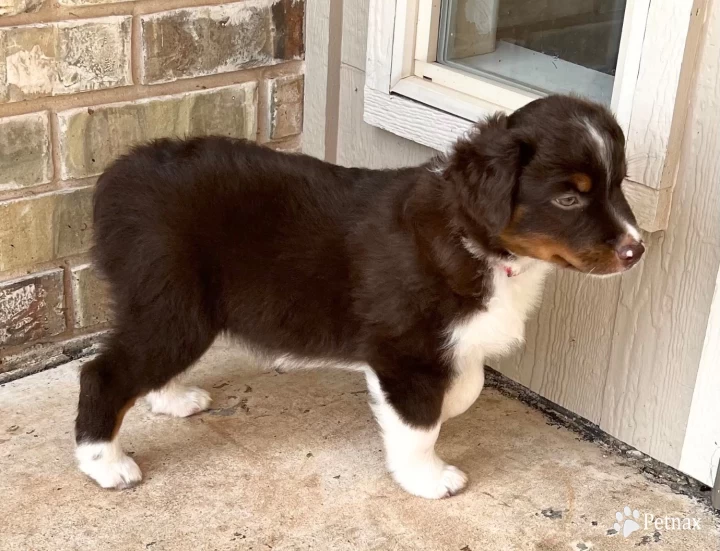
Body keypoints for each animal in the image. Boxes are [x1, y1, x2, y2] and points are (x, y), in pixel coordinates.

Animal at [74, 95, 648, 500]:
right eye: (568, 198)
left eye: (619, 184)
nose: (636, 250)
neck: (472, 236)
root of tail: (121, 174)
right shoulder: (404, 349)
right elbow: (419, 423)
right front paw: (428, 478)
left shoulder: (444, 343)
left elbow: (466, 386)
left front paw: (448, 405)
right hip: (176, 308)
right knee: (104, 374)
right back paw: (106, 463)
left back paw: (171, 399)